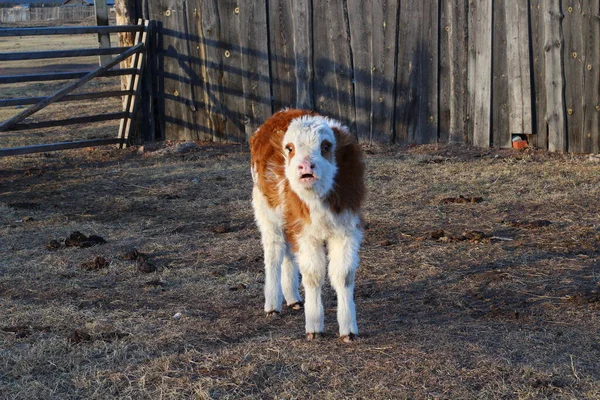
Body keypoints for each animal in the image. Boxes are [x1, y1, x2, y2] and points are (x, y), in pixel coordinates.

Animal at [250, 108, 366, 340]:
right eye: (290, 148)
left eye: (326, 146)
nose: (305, 166)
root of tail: (281, 113)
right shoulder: (305, 233)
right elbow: (313, 275)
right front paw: (314, 325)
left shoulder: (346, 230)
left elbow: (343, 275)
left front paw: (348, 328)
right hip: (266, 211)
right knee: (274, 254)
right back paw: (272, 304)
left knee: (288, 253)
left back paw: (292, 297)